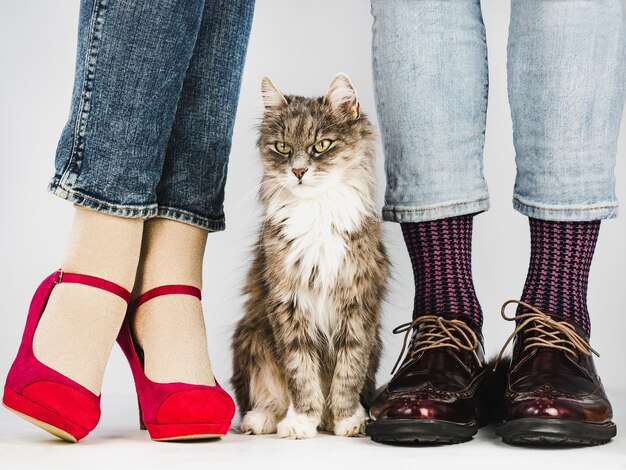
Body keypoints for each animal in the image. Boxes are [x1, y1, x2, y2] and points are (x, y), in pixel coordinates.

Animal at [229, 72, 386, 436]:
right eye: (283, 148)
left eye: (322, 146)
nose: (299, 172)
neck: (317, 211)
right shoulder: (288, 304)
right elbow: (300, 373)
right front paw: (302, 421)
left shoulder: (357, 305)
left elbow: (349, 371)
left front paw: (347, 420)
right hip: (252, 338)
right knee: (265, 396)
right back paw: (263, 419)